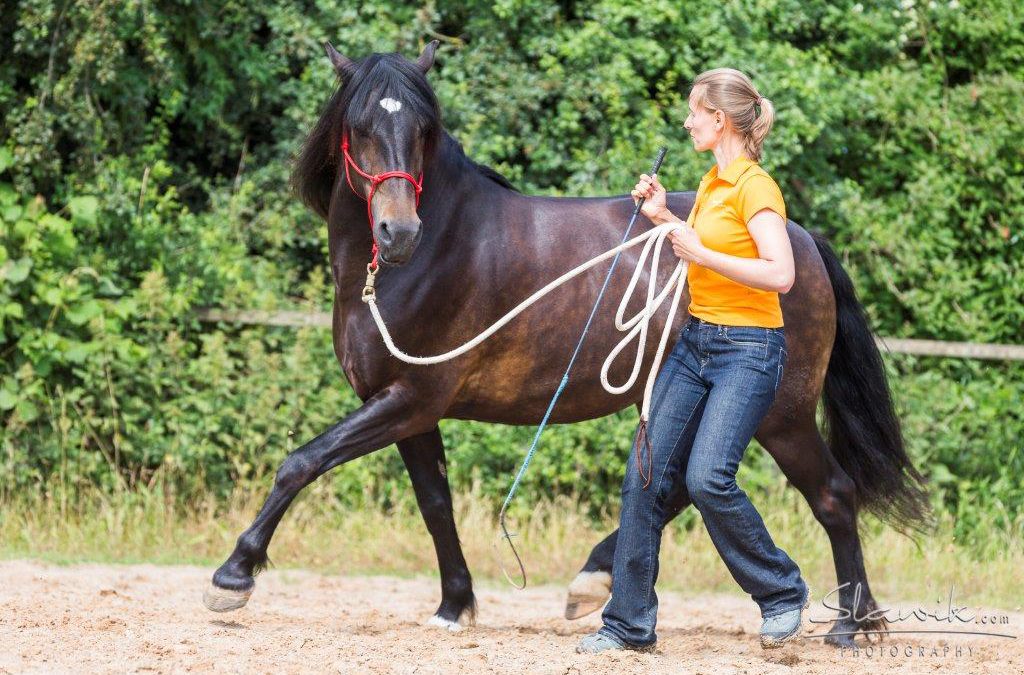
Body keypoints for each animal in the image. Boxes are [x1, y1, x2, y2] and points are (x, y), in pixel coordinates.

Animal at [203, 40, 934, 647]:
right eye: (359, 127)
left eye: (422, 130)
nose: (398, 231)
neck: (434, 251)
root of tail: (801, 238)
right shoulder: (406, 406)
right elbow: (435, 504)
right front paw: (454, 606)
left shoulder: (410, 397)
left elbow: (300, 461)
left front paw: (233, 575)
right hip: (690, 396)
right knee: (680, 485)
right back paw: (596, 582)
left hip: (780, 413)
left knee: (829, 494)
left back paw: (851, 624)